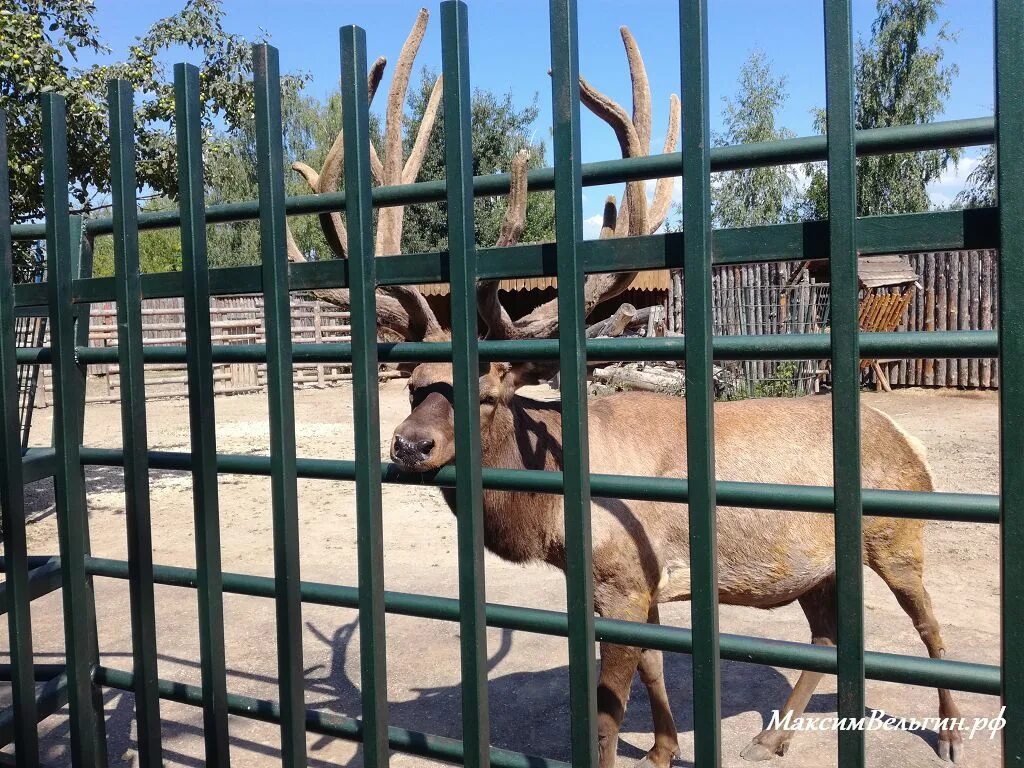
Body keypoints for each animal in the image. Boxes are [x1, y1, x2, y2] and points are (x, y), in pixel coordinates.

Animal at [286, 12, 958, 768]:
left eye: (486, 395)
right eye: (413, 388)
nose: (409, 445)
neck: (553, 513)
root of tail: (911, 441)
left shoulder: (627, 576)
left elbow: (609, 712)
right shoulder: (638, 583)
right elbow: (657, 668)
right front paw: (665, 749)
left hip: (898, 535)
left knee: (930, 628)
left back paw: (951, 732)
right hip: (818, 566)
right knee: (827, 636)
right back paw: (775, 734)